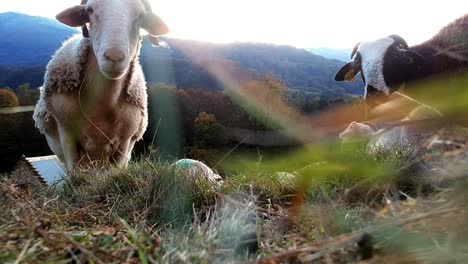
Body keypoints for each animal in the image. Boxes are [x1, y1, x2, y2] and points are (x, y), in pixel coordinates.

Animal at [33, 0, 169, 170]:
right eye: (90, 10)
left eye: (142, 16)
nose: (114, 56)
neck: (103, 105)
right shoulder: (67, 133)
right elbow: (74, 172)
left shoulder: (125, 142)